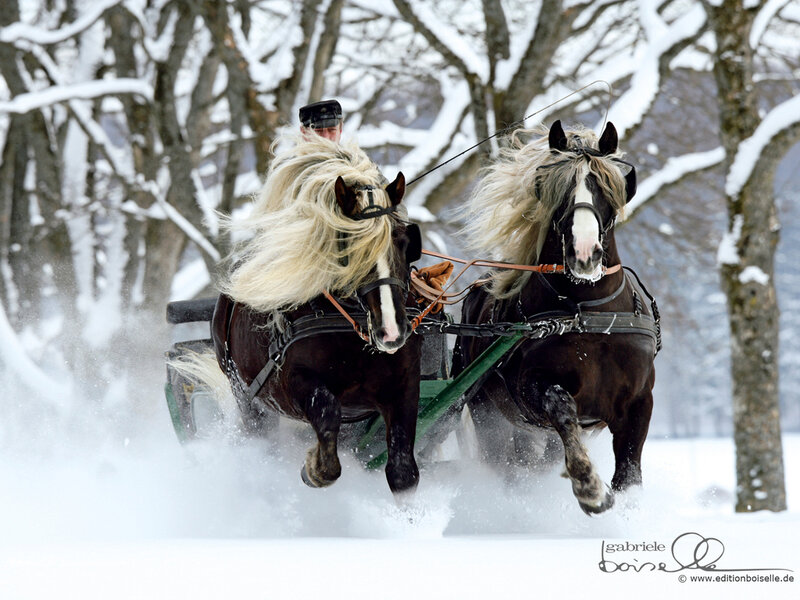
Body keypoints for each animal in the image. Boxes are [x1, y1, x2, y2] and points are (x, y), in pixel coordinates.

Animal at [174, 135, 423, 495]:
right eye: (348, 247)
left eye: (404, 241)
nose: (391, 332)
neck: (352, 331)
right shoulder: (292, 385)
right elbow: (329, 414)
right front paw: (315, 469)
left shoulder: (404, 386)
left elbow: (403, 473)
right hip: (248, 398)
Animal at [453, 120, 658, 514]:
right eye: (559, 190)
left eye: (605, 189)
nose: (585, 253)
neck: (591, 314)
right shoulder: (532, 390)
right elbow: (561, 405)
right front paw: (589, 485)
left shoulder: (639, 402)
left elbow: (629, 475)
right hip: (490, 416)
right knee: (508, 467)